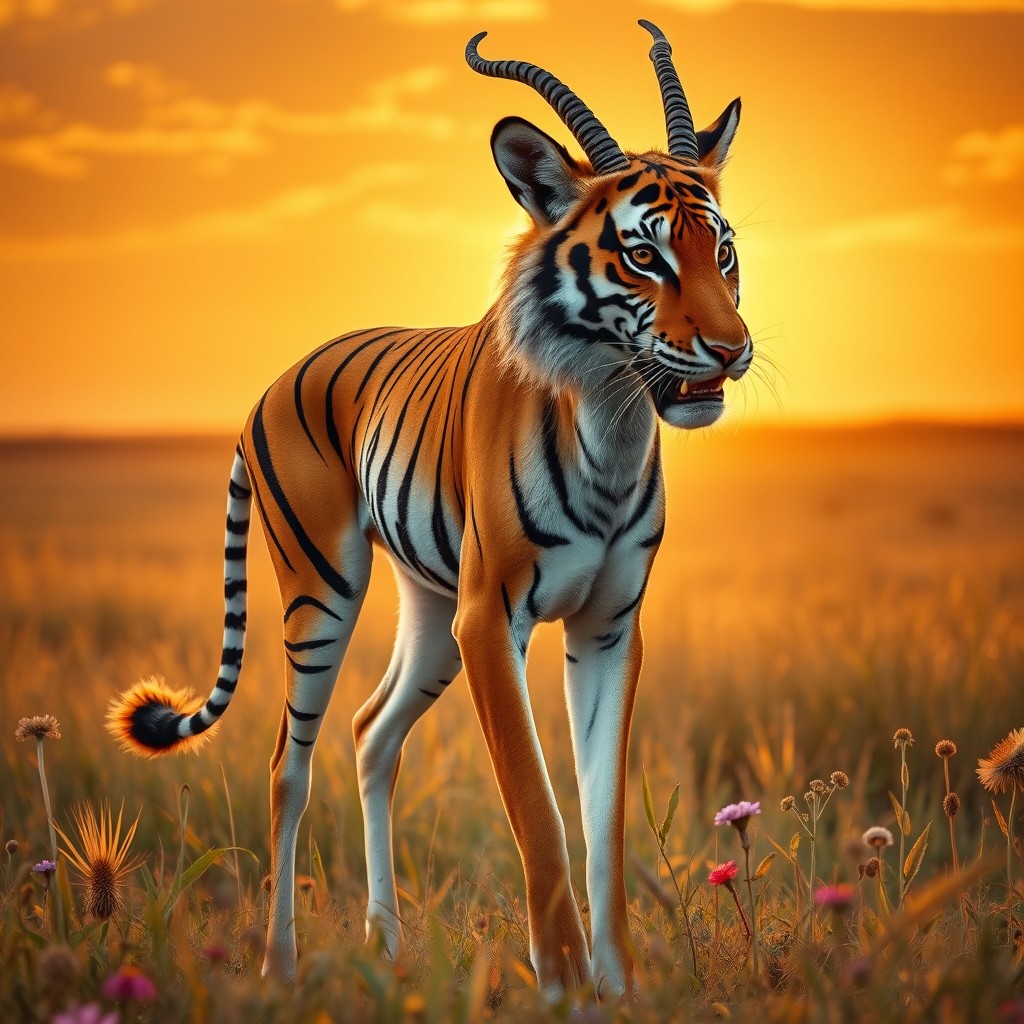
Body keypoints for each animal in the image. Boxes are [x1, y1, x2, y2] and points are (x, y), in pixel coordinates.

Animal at [107, 20, 751, 1000]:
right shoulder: (492, 621)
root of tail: (272, 378)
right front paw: (564, 987)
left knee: (372, 735)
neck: (612, 417)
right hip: (323, 593)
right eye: (644, 254)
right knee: (287, 766)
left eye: (721, 250)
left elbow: (602, 819)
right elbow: (540, 812)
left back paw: (388, 945)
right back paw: (279, 966)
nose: (730, 348)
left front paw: (619, 989)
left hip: (429, 607)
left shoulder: (608, 626)